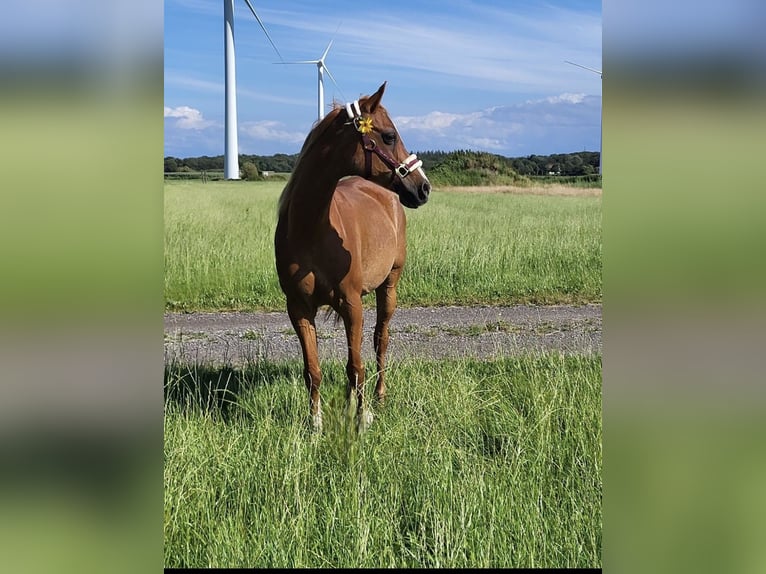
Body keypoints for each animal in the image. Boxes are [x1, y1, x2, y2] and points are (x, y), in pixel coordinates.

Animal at [274, 82, 432, 432]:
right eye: (389, 136)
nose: (424, 188)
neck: (311, 229)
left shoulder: (352, 303)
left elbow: (357, 366)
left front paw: (361, 421)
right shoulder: (298, 308)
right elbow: (313, 370)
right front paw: (315, 426)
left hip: (389, 287)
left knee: (379, 341)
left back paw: (379, 397)